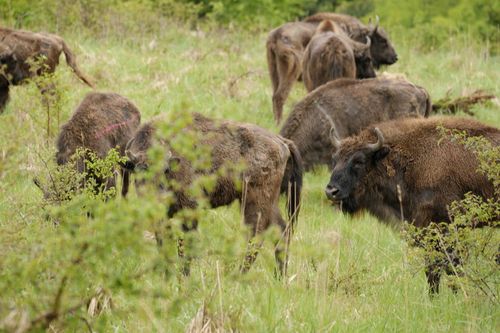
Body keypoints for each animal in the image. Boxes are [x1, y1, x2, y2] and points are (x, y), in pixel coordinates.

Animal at [125, 113, 304, 274]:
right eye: (138, 171)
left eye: (165, 170)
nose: (158, 197)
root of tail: (282, 142)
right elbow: (163, 241)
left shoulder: (190, 210)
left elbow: (185, 244)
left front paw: (184, 275)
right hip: (270, 203)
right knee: (281, 231)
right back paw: (279, 276)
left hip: (254, 202)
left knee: (256, 236)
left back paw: (239, 275)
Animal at [324, 115, 500, 292]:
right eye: (335, 159)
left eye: (359, 161)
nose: (331, 191)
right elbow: (434, 271)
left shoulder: (444, 228)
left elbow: (448, 267)